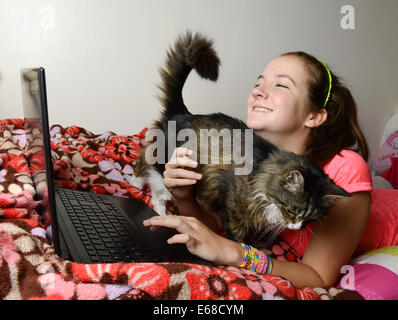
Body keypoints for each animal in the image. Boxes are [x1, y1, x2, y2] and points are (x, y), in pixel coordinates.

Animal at [132, 31, 350, 244]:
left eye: (311, 219)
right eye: (293, 210)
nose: (296, 227)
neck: (264, 170)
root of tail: (183, 113)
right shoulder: (235, 212)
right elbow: (237, 239)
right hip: (167, 167)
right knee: (151, 177)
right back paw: (151, 203)